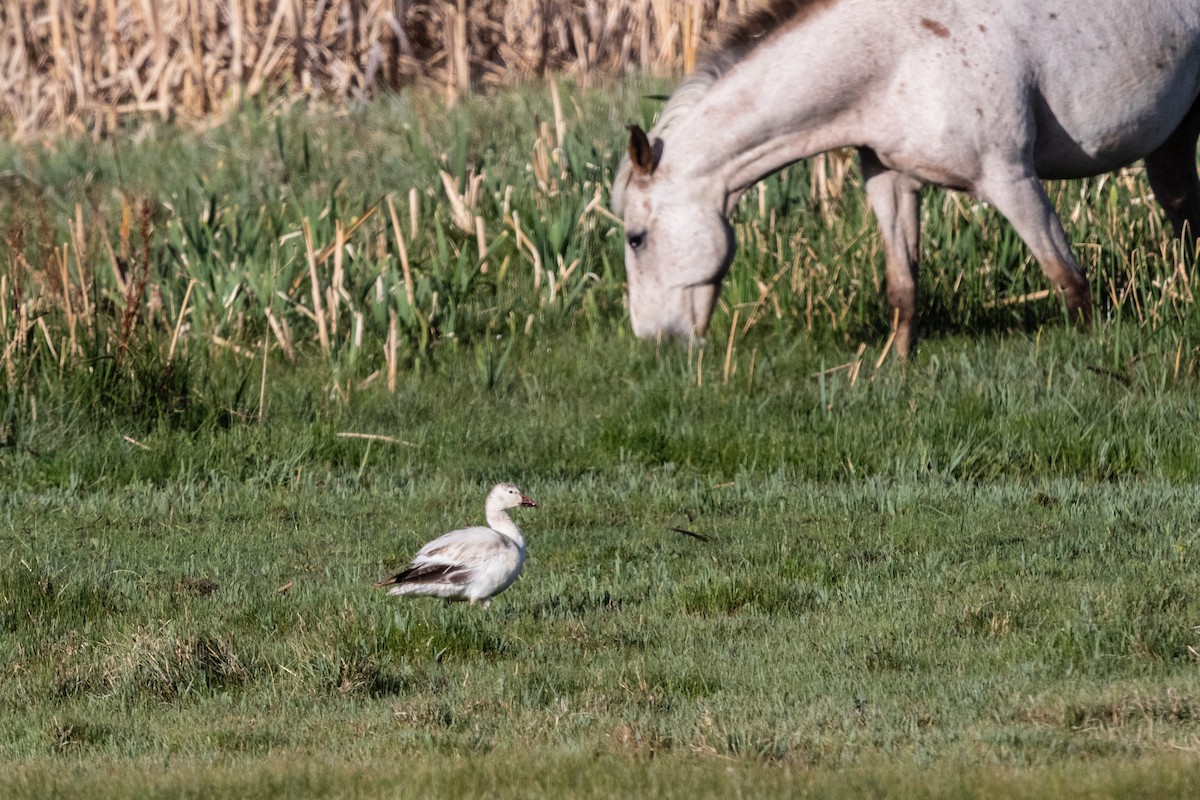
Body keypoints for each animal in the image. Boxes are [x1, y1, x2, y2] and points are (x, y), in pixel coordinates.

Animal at [614, 0, 1200, 357]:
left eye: (636, 238)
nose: (652, 339)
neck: (897, 55)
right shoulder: (890, 182)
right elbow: (903, 288)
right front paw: (897, 369)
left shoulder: (1010, 178)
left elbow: (1067, 278)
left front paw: (1092, 355)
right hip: (1173, 140)